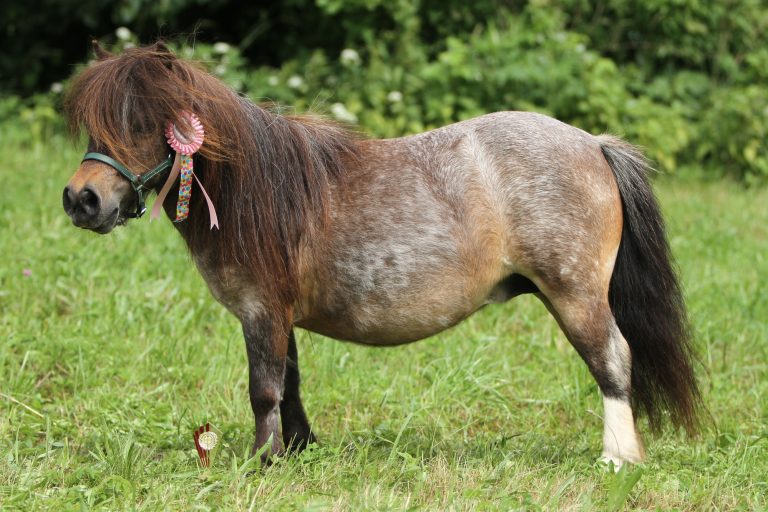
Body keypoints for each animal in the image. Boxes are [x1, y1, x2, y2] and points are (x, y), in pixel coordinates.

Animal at [62, 41, 699, 467]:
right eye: (94, 122)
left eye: (145, 122)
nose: (81, 200)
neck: (258, 190)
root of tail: (594, 143)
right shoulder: (280, 315)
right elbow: (290, 383)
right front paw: (297, 453)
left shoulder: (261, 311)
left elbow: (263, 389)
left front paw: (262, 463)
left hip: (575, 295)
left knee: (612, 360)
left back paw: (618, 459)